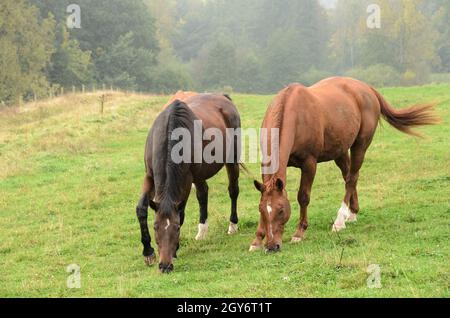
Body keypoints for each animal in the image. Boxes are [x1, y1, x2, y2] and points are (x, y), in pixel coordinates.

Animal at [136, 93, 243, 272]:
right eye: (155, 227)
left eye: (177, 228)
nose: (164, 266)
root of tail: (224, 97)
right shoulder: (150, 176)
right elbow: (141, 210)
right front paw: (148, 252)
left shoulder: (186, 181)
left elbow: (181, 214)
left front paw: (175, 251)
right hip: (199, 175)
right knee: (203, 194)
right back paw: (202, 231)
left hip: (231, 161)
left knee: (233, 191)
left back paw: (232, 225)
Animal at [251, 76, 438, 251]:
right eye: (261, 210)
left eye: (281, 210)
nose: (272, 246)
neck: (294, 114)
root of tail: (367, 89)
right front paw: (257, 239)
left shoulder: (309, 163)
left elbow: (303, 197)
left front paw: (299, 233)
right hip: (340, 151)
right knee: (348, 175)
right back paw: (352, 212)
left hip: (360, 146)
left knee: (351, 178)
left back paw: (340, 220)